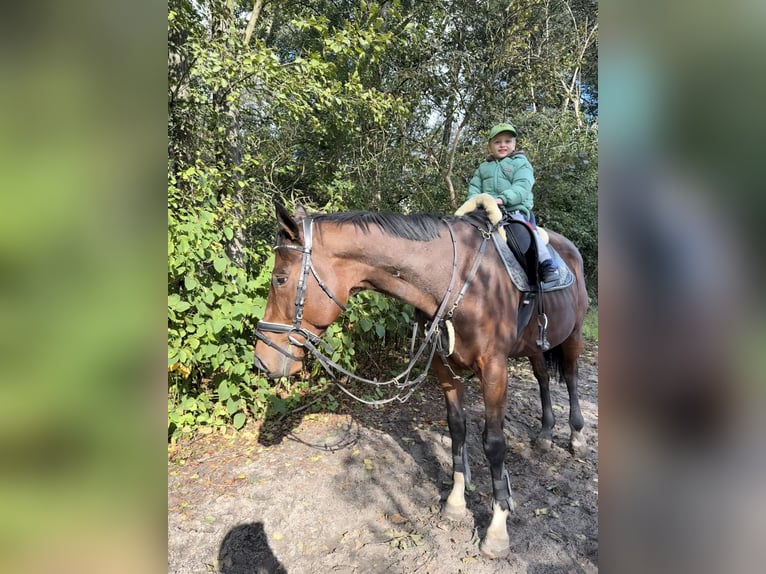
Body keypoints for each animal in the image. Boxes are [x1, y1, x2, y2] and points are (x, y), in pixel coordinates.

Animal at [255, 201, 592, 560]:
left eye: (280, 278)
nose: (261, 359)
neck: (459, 280)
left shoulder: (494, 370)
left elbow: (494, 443)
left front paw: (497, 528)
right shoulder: (445, 368)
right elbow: (457, 429)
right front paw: (456, 502)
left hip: (572, 336)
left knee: (571, 379)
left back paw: (576, 436)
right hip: (534, 346)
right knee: (542, 378)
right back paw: (545, 434)